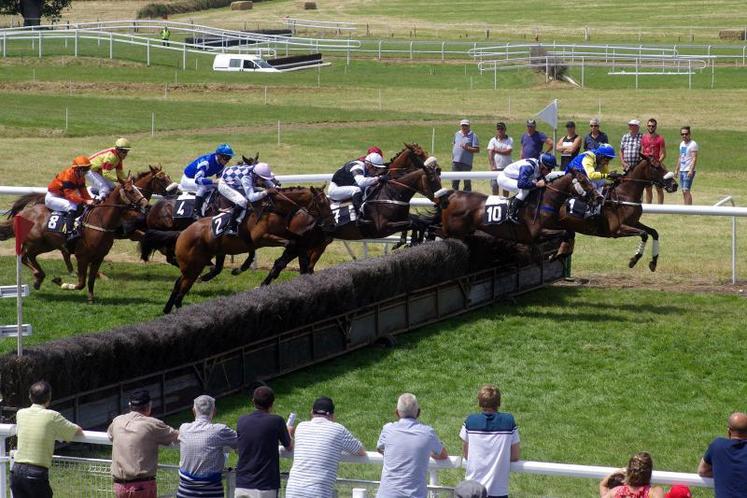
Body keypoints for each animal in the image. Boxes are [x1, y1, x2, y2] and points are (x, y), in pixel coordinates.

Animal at [0, 179, 149, 304]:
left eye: (139, 189)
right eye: (130, 190)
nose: (146, 205)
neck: (100, 221)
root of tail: (22, 214)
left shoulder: (98, 257)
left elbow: (91, 280)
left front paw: (91, 298)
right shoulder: (82, 256)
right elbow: (81, 283)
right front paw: (62, 283)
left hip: (46, 244)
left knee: (28, 256)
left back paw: (38, 278)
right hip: (35, 242)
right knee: (25, 256)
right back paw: (38, 276)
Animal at [165, 185, 332, 314]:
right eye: (322, 203)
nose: (331, 222)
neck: (274, 209)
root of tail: (182, 234)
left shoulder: (284, 233)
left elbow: (296, 243)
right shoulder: (262, 237)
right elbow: (291, 244)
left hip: (196, 263)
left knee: (179, 282)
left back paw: (168, 308)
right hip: (193, 265)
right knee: (183, 286)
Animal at [250, 142, 444, 286]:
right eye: (420, 154)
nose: (437, 166)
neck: (391, 192)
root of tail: (298, 210)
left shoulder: (401, 218)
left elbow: (417, 222)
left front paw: (416, 240)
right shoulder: (382, 227)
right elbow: (412, 224)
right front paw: (408, 241)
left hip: (316, 243)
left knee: (301, 266)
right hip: (301, 243)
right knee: (281, 263)